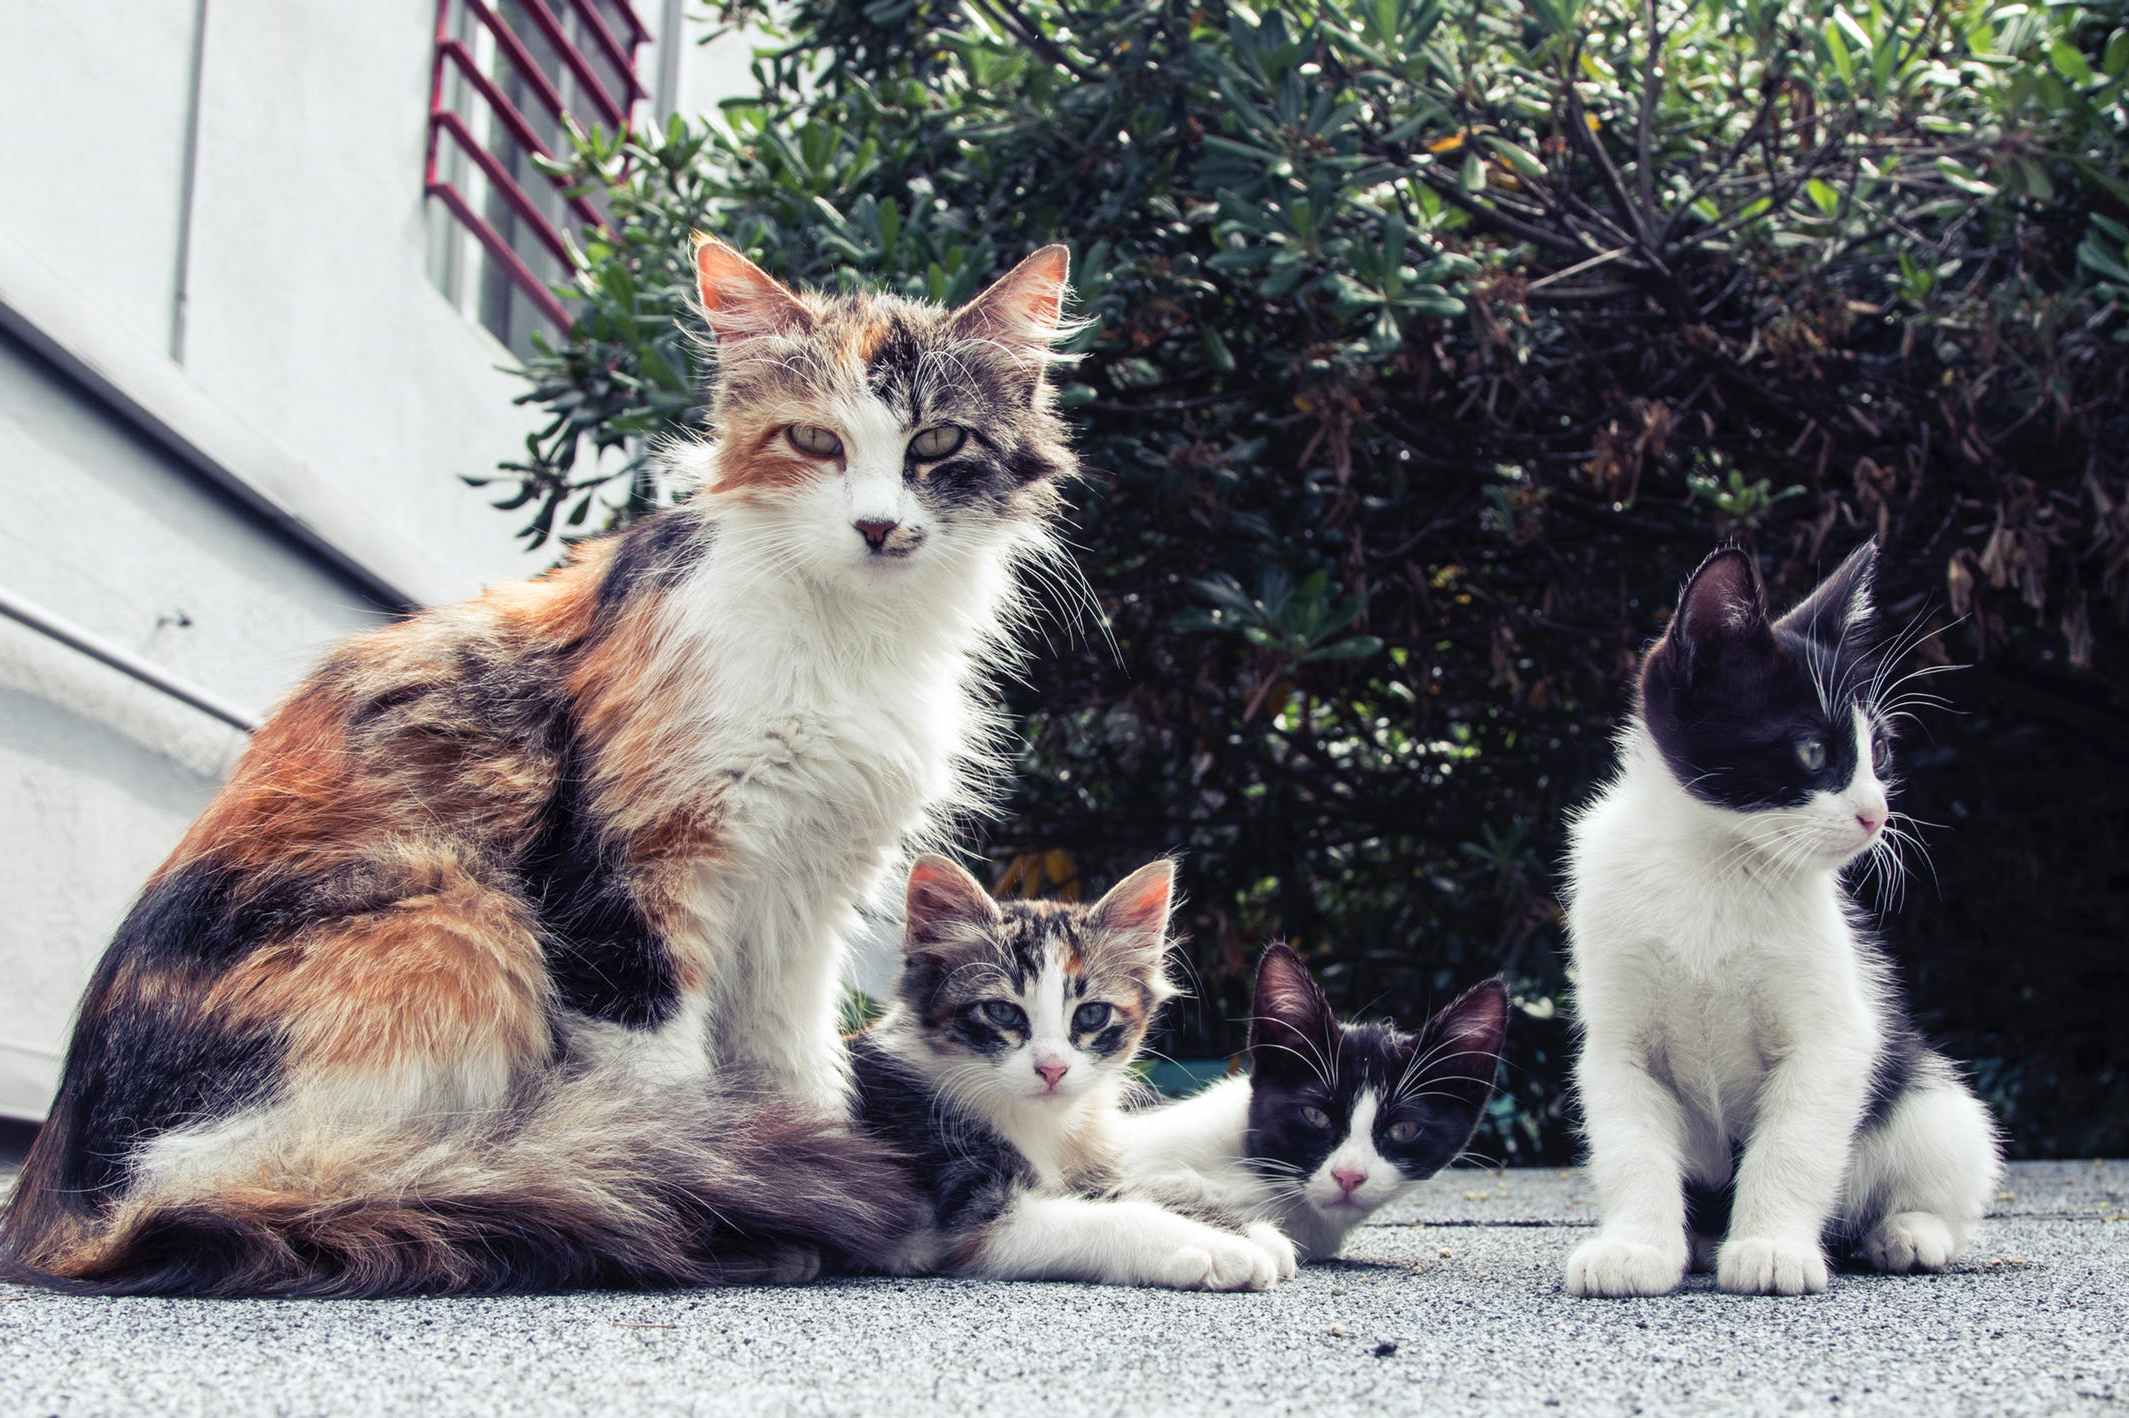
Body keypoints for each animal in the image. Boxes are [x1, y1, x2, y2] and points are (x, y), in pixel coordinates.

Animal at [4, 240, 1081, 1294]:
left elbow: (795, 1063)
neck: (852, 638)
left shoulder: (802, 897)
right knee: (293, 1169)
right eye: (815, 442)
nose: (876, 526)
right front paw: (741, 1190)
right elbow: (668, 1089)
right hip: (460, 922)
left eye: (936, 445)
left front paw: (821, 1177)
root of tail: (61, 1207)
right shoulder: (633, 872)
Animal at [851, 855, 1294, 1285]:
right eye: (1001, 1012)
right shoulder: (972, 1209)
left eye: (1092, 1014)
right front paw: (1222, 1248)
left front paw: (1250, 1230)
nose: (1052, 1069)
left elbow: (1131, 1189)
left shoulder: (1091, 1168)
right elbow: (1114, 1217)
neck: (1041, 1123)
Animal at [1566, 538, 1992, 1294]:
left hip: (1931, 1097)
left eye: (1879, 752)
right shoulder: (1615, 1039)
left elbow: (1792, 1142)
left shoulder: (1835, 1035)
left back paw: (1907, 1232)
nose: (1877, 814)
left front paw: (1770, 1247)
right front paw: (1636, 1248)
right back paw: (1699, 1240)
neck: (1713, 866)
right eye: (1813, 750)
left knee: (1944, 1163)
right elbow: (1629, 1143)